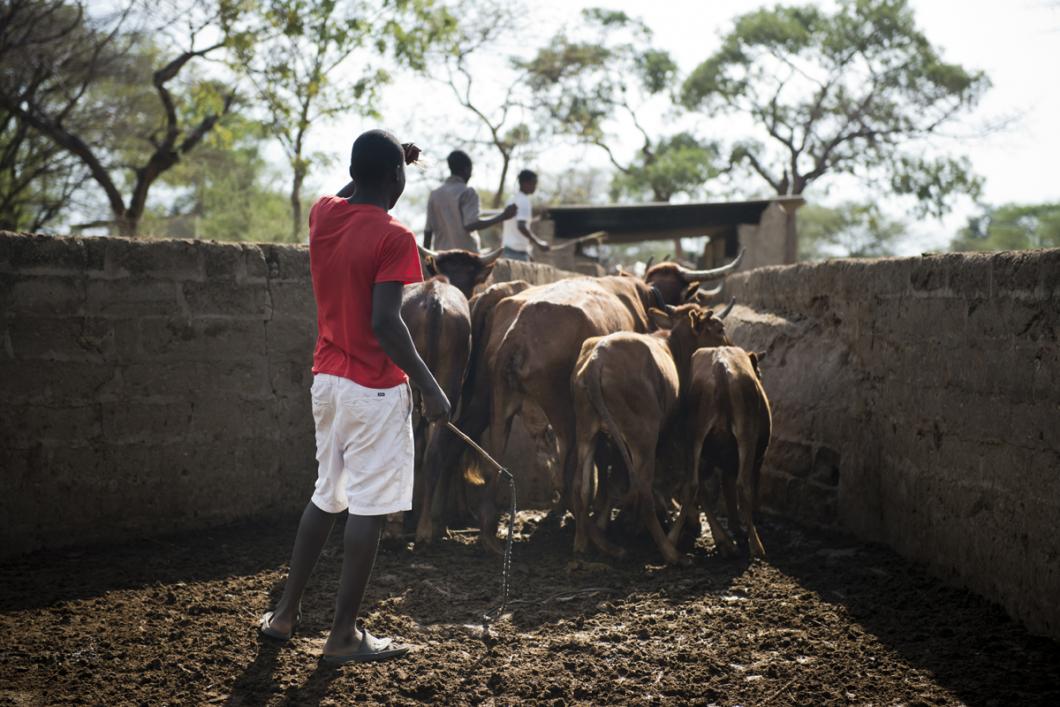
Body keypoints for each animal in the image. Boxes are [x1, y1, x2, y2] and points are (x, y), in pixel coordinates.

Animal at [568, 303, 733, 563]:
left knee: (580, 487)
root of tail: (596, 359)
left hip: (587, 431)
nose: (731, 346)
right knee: (643, 488)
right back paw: (670, 552)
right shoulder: (669, 429)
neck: (673, 346)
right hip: (643, 435)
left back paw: (584, 543)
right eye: (718, 328)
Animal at [674, 347, 775, 559]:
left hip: (695, 439)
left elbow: (725, 489)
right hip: (746, 436)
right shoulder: (757, 459)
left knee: (695, 486)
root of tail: (720, 367)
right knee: (743, 486)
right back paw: (756, 546)